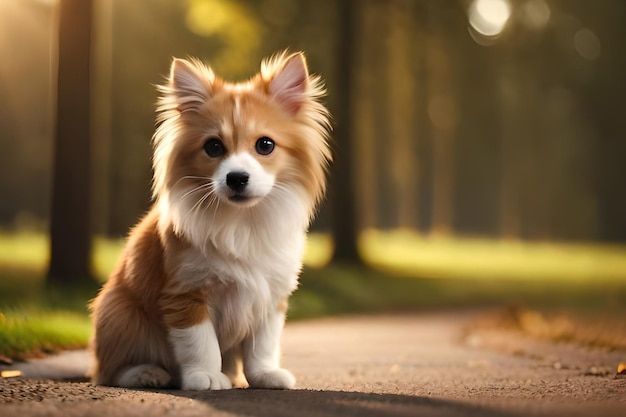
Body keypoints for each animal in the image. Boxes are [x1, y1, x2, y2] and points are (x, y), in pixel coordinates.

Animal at [89, 52, 332, 390]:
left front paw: (265, 375)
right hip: (120, 313)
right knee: (110, 371)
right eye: (213, 147)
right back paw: (146, 373)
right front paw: (205, 375)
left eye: (265, 145)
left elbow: (263, 345)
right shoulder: (186, 294)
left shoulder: (270, 297)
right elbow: (201, 343)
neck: (242, 220)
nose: (237, 177)